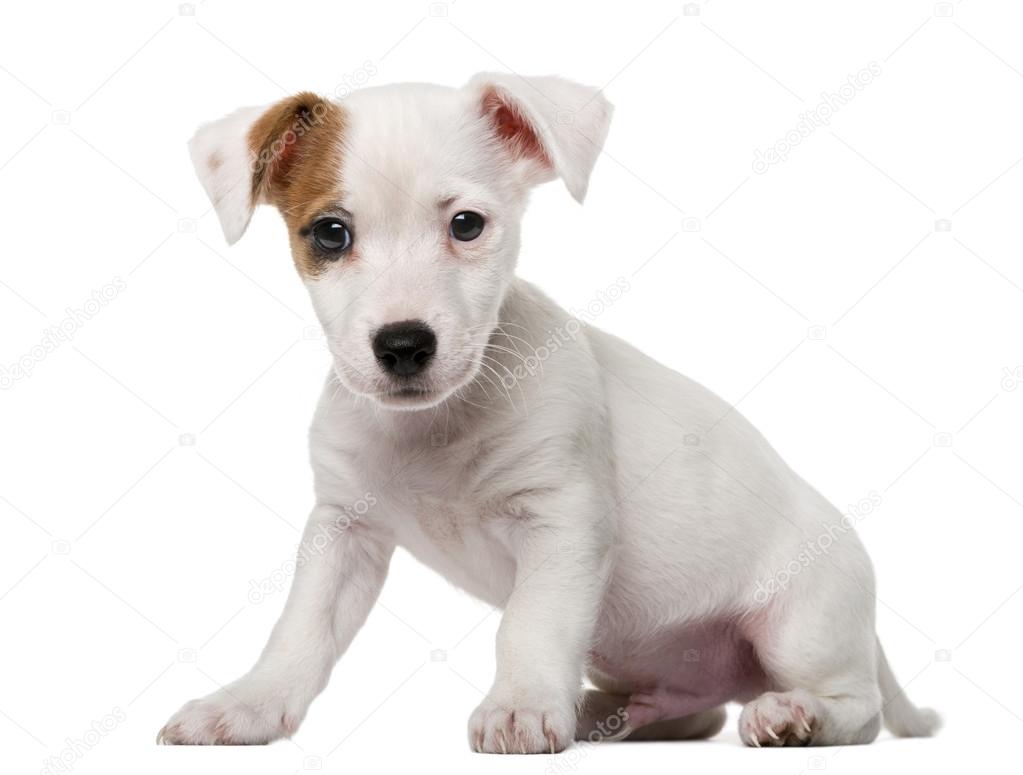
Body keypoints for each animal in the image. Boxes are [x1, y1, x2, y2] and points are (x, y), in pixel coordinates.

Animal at [161, 71, 941, 752]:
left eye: (467, 225)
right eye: (329, 233)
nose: (404, 344)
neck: (437, 424)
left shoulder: (562, 520)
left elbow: (530, 625)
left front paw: (521, 704)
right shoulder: (342, 533)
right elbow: (300, 632)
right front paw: (247, 705)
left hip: (799, 627)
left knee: (858, 706)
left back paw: (792, 715)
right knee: (694, 709)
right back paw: (611, 712)